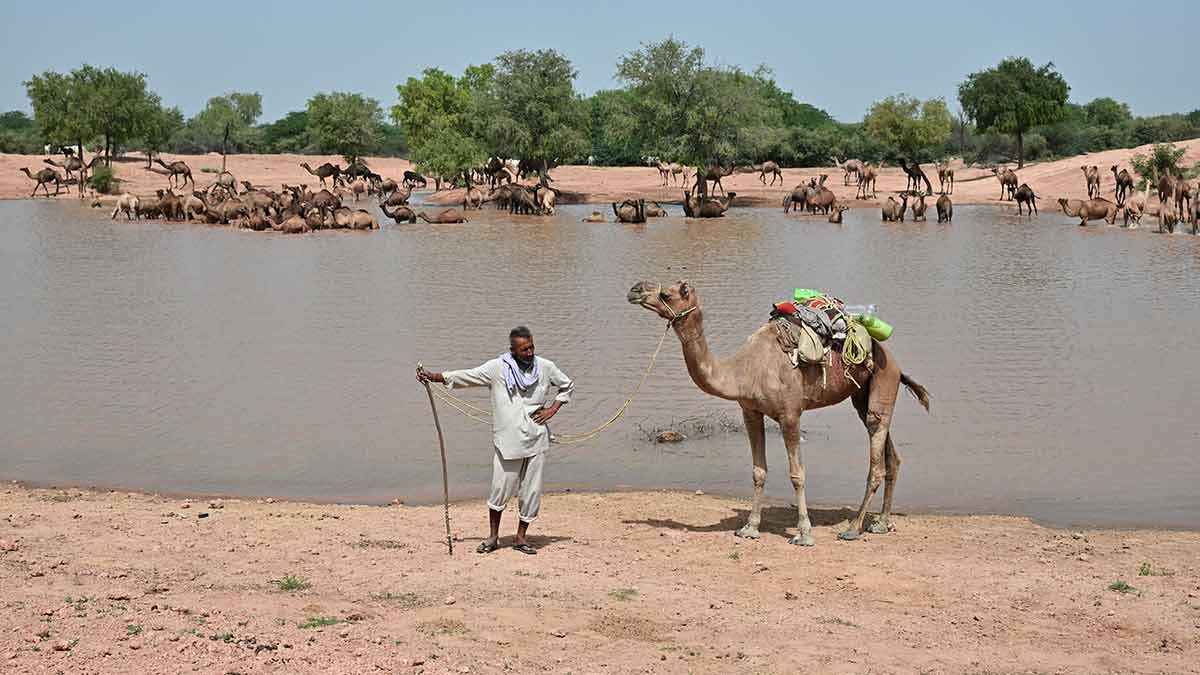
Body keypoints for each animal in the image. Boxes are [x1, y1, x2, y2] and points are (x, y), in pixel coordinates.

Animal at [627, 280, 930, 545]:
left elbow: (797, 474)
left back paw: (854, 528)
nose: (635, 289)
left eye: (666, 294)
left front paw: (804, 534)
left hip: (883, 379)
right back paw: (880, 523)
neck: (742, 371)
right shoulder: (750, 412)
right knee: (892, 456)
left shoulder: (790, 414)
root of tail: (895, 363)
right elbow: (758, 471)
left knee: (876, 456)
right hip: (862, 395)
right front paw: (749, 528)